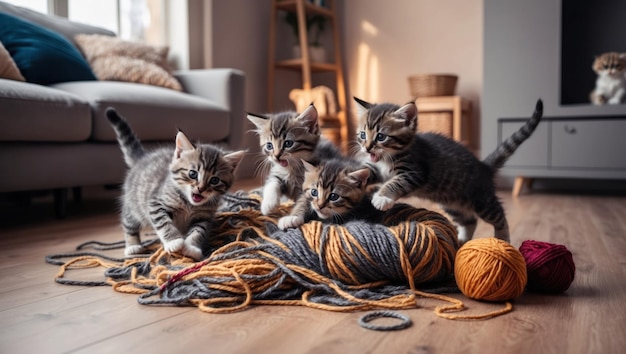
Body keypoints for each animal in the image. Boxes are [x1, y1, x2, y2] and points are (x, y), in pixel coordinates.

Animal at [105, 108, 244, 260]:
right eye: (192, 174)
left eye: (214, 180)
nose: (200, 188)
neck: (189, 204)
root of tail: (142, 158)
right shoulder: (155, 202)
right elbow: (164, 222)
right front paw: (174, 241)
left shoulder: (204, 217)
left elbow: (198, 231)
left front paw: (191, 247)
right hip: (133, 204)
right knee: (129, 222)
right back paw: (132, 245)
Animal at [354, 95, 544, 243]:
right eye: (362, 135)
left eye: (381, 136)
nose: (367, 148)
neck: (388, 157)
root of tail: (483, 166)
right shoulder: (377, 168)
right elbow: (369, 171)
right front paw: (354, 176)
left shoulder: (415, 172)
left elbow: (396, 181)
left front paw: (382, 197)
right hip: (451, 202)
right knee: (470, 220)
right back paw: (461, 240)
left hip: (481, 199)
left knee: (499, 216)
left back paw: (502, 239)